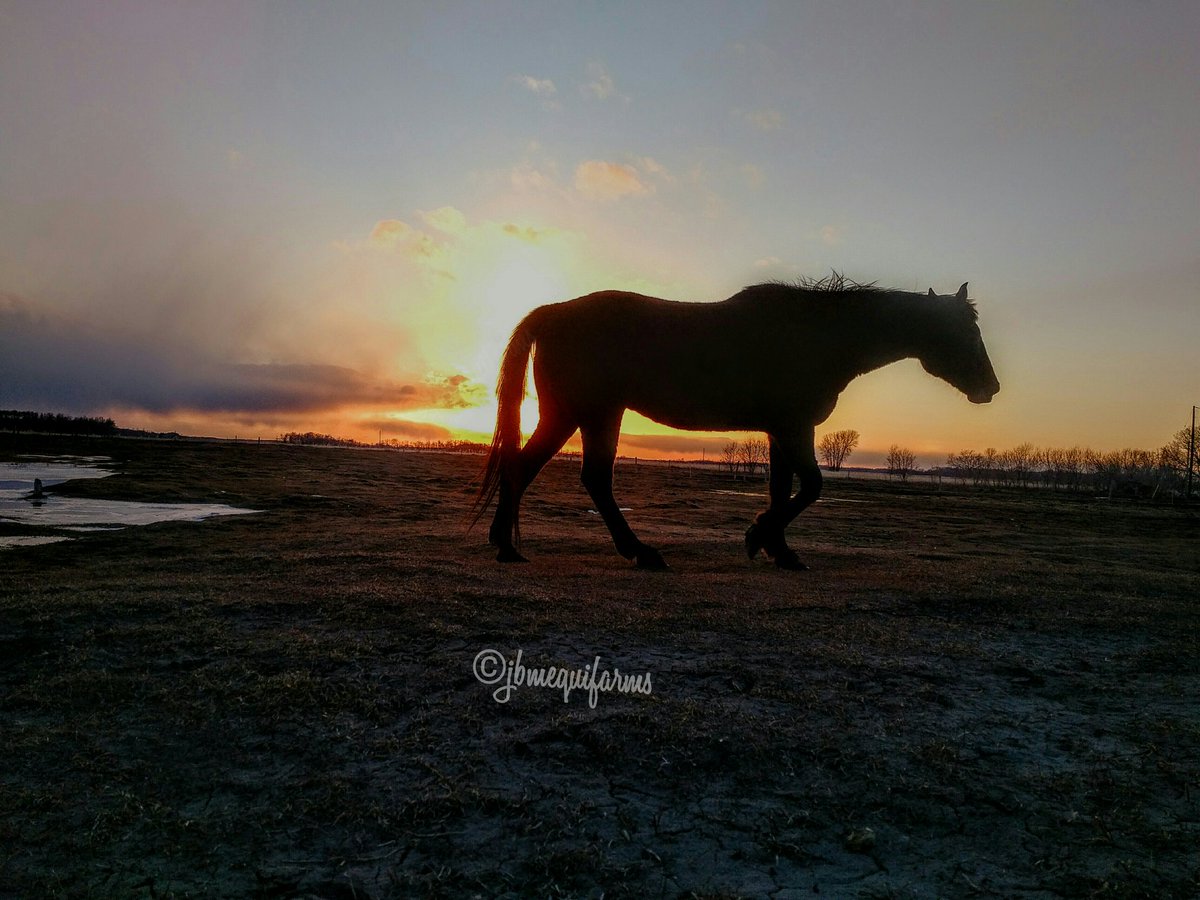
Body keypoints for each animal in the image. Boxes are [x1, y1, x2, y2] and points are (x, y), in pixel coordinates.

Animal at [473, 275, 999, 570]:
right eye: (967, 331)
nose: (990, 388)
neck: (818, 337)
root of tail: (551, 313)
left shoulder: (783, 430)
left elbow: (781, 490)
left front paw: (780, 551)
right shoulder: (793, 428)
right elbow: (811, 486)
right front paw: (757, 537)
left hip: (575, 414)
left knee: (527, 470)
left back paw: (506, 546)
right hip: (593, 412)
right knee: (587, 478)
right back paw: (639, 552)